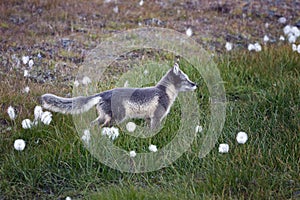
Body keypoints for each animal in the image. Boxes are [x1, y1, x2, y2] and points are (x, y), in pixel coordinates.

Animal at [42, 63, 197, 130]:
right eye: (186, 79)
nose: (195, 84)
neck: (165, 92)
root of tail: (103, 93)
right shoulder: (157, 117)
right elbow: (155, 131)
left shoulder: (148, 118)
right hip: (117, 117)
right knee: (103, 127)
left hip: (104, 116)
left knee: (93, 125)